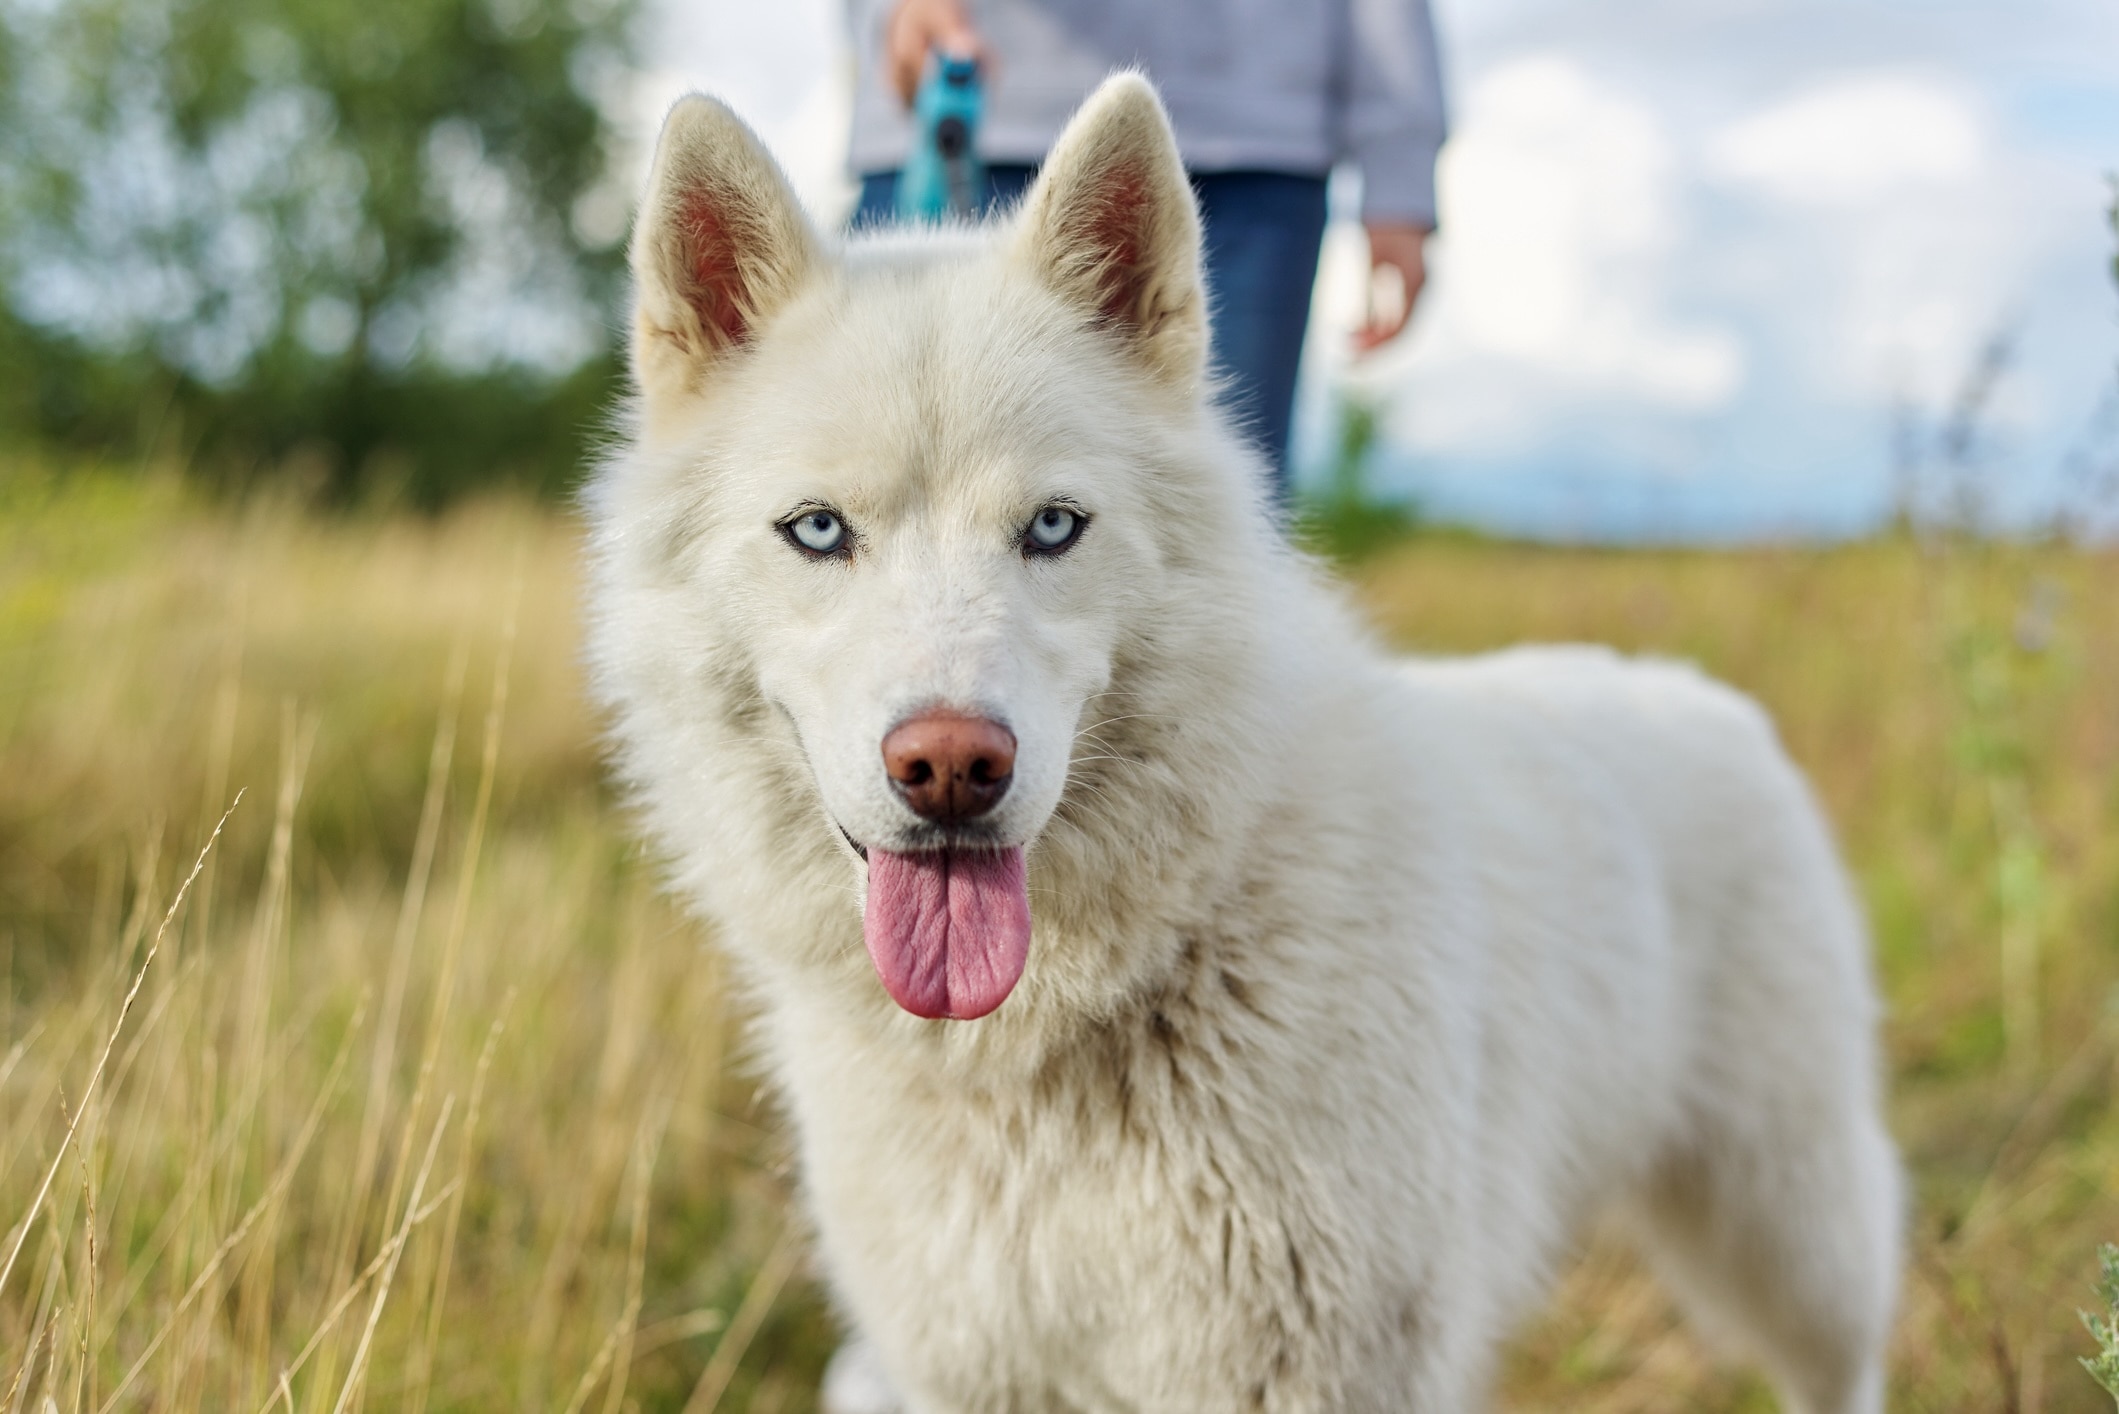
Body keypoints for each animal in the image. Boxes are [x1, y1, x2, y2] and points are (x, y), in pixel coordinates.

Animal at [584, 74, 1907, 1414]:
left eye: (1052, 527)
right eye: (817, 531)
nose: (952, 767)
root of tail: (1703, 697)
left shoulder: (1320, 1369)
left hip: (1793, 1230)